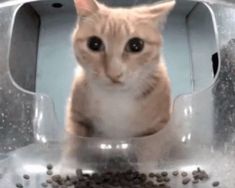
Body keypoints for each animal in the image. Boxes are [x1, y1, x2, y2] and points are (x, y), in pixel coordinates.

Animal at [65, 0, 174, 138]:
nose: (114, 73)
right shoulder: (76, 119)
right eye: (94, 43)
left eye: (136, 45)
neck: (116, 97)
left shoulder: (158, 127)